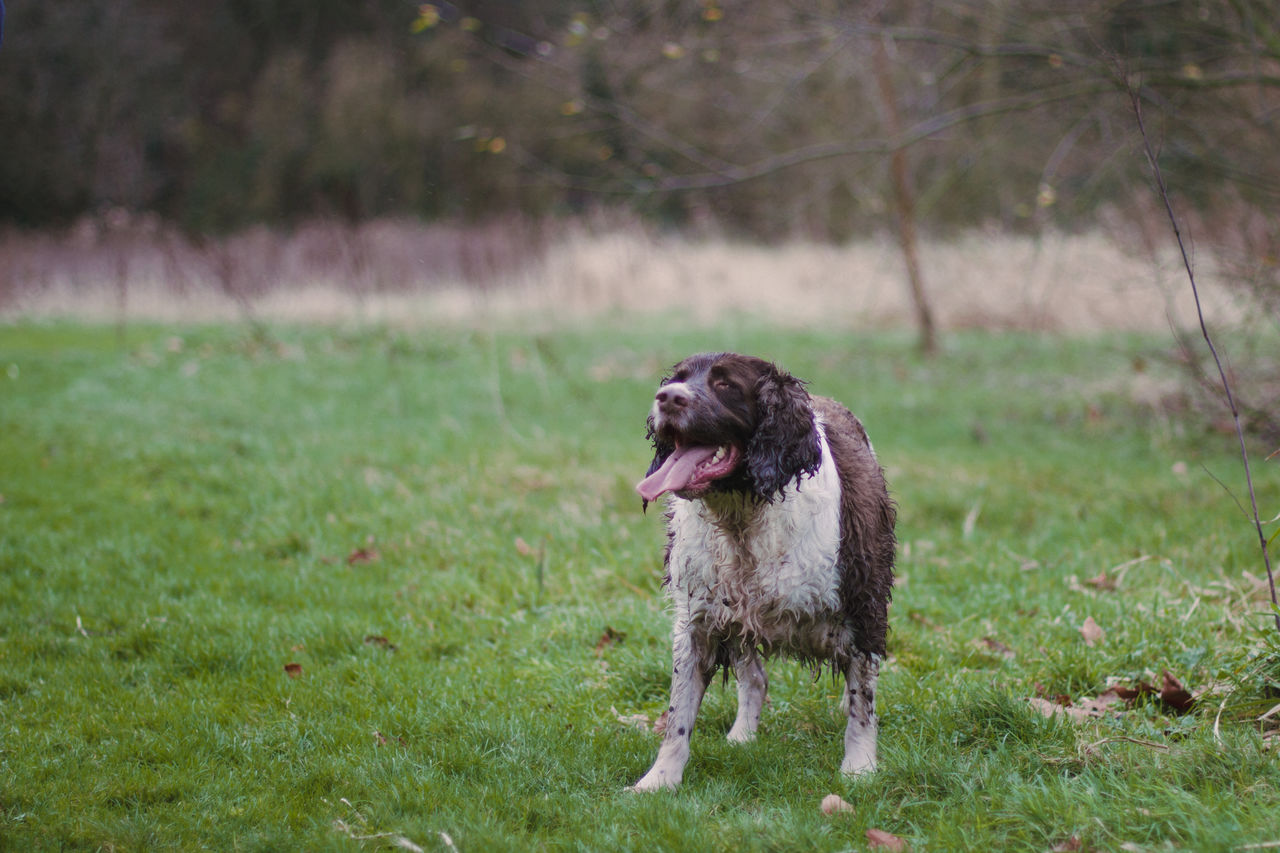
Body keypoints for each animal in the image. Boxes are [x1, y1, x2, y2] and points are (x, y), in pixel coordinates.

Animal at [632, 348, 896, 788]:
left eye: (725, 384)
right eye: (679, 378)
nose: (667, 398)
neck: (745, 515)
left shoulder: (864, 605)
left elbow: (863, 702)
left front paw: (859, 769)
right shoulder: (698, 620)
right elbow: (677, 717)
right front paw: (659, 780)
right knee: (755, 676)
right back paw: (742, 736)